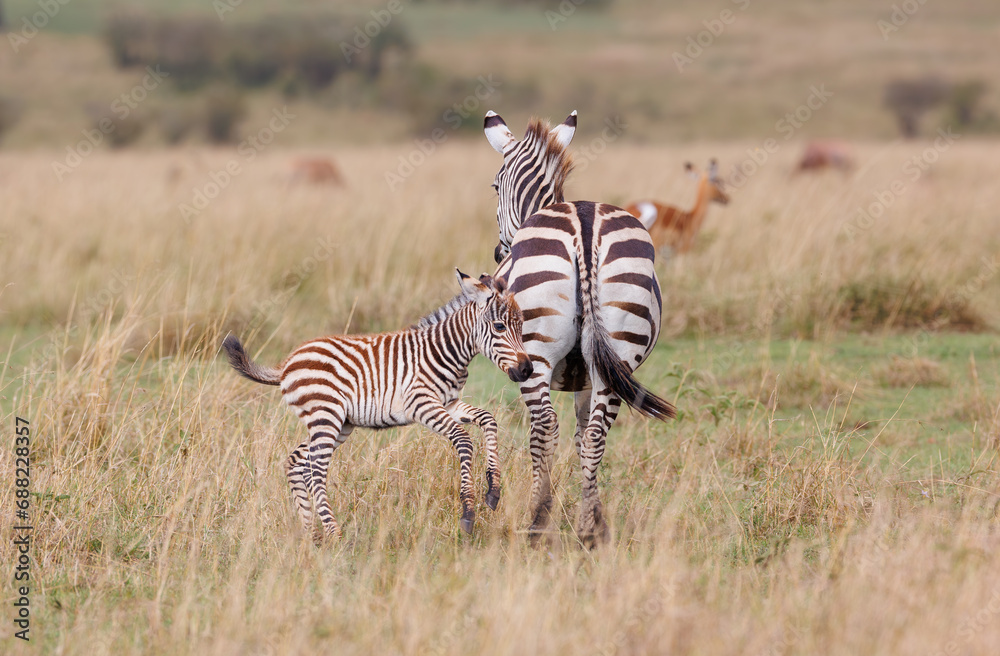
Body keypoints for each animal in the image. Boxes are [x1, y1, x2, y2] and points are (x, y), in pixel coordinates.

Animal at [222, 270, 533, 541]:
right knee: (316, 471)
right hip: (326, 416)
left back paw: (311, 536)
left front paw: (493, 490)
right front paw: (468, 512)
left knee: (297, 463)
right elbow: (464, 440)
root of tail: (287, 363)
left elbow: (489, 419)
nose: (527, 370)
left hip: (337, 423)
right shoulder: (421, 404)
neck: (446, 351)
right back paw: (335, 535)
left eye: (521, 326)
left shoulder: (450, 402)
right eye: (500, 327)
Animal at [483, 109, 675, 547]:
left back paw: (536, 522)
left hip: (535, 354)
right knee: (596, 435)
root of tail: (584, 230)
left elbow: (554, 434)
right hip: (619, 353)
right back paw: (590, 530)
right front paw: (593, 513)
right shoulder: (586, 377)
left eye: (495, 185)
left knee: (543, 428)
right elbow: (582, 435)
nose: (501, 251)